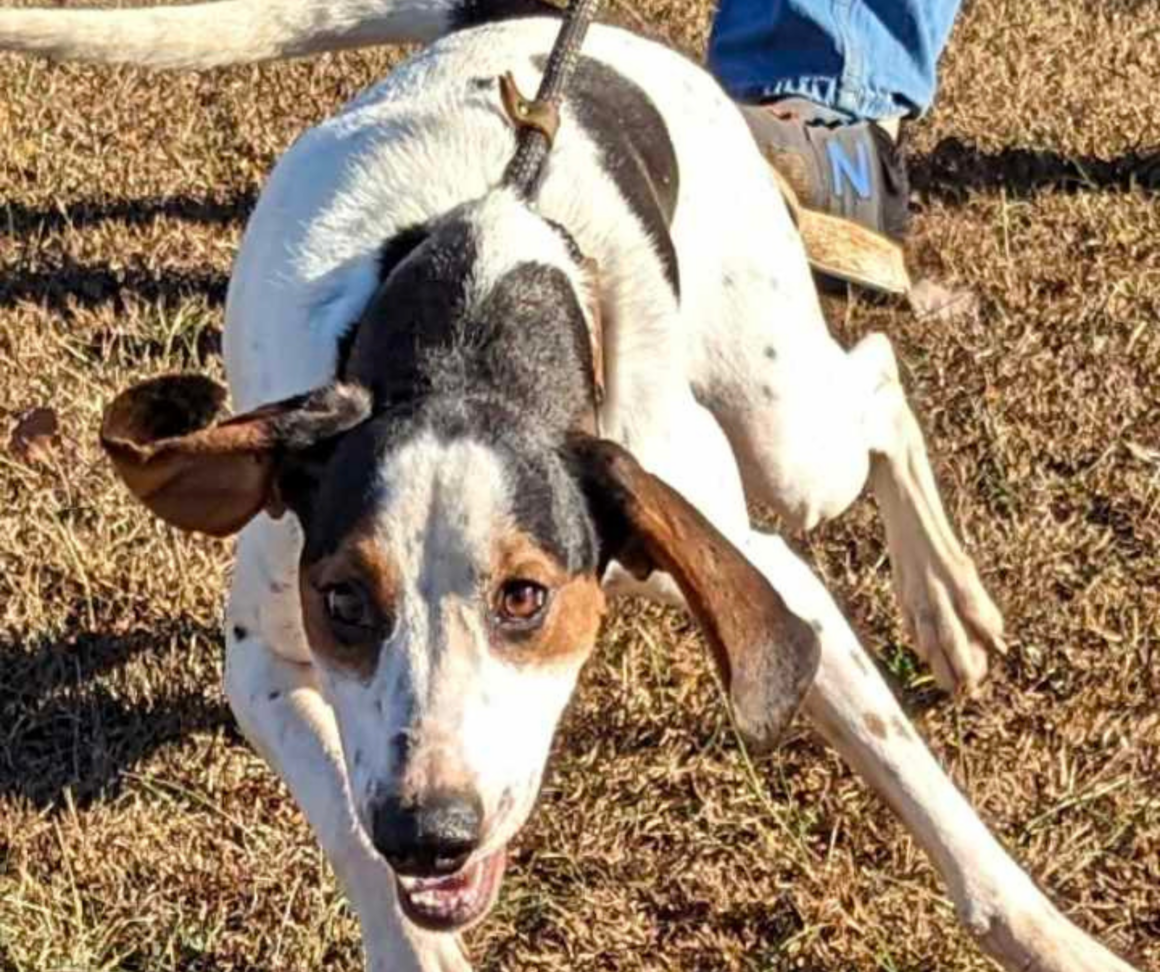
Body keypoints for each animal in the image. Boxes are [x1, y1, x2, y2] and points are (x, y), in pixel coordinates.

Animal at [0, 1, 1141, 972]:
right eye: (343, 603)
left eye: (525, 598)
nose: (430, 833)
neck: (467, 328)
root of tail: (532, 23)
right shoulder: (267, 666)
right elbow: (356, 840)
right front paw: (415, 942)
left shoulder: (752, 571)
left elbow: (921, 788)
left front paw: (1056, 943)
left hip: (785, 433)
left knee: (876, 381)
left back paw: (946, 607)